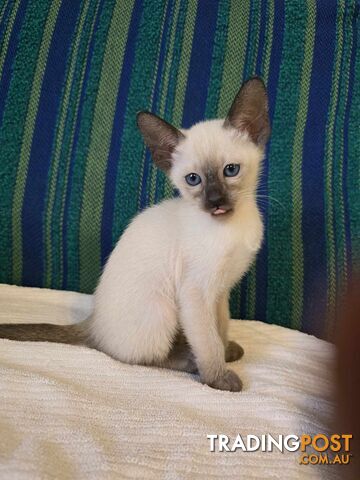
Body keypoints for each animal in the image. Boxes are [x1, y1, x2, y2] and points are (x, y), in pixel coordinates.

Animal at [0, 79, 270, 392]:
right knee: (142, 357)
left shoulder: (220, 291)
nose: (215, 202)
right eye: (193, 179)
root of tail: (92, 324)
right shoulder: (196, 292)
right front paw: (218, 375)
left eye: (230, 170)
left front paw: (226, 350)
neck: (231, 225)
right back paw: (188, 359)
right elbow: (207, 341)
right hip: (164, 310)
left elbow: (220, 327)